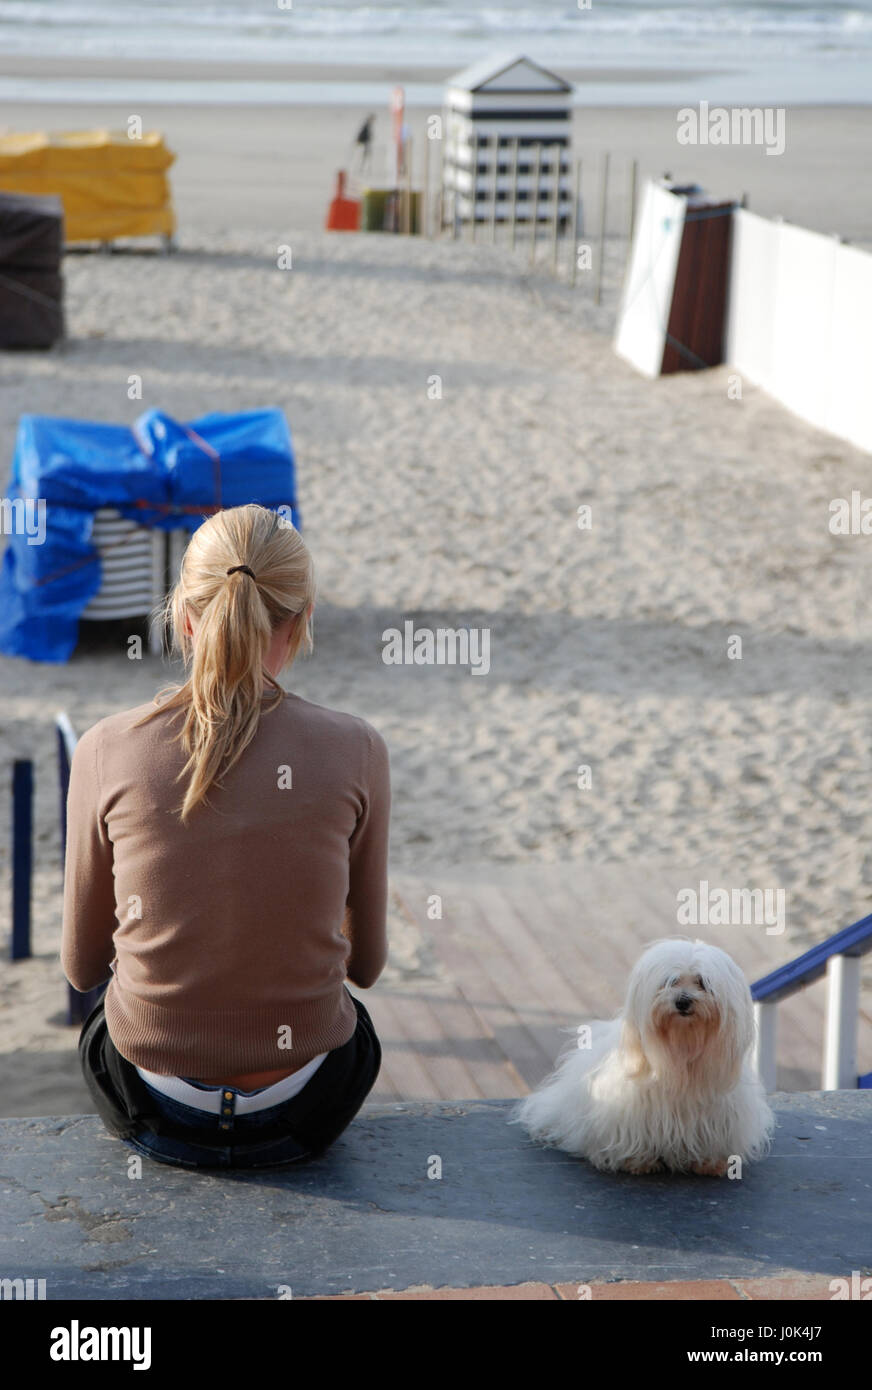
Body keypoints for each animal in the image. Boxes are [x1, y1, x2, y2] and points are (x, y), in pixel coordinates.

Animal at [514, 934, 773, 1173]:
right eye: (670, 982)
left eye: (702, 982)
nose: (683, 1001)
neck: (682, 1046)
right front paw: (637, 1160)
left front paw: (711, 1162)